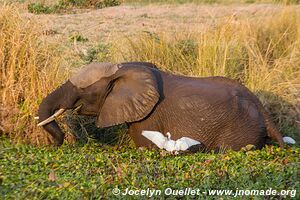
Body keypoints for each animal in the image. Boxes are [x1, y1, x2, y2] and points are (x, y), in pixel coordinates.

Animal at [37, 61, 286, 151]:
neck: (122, 68)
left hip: (239, 129)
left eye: (83, 91)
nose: (54, 146)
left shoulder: (148, 118)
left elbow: (144, 146)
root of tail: (260, 107)